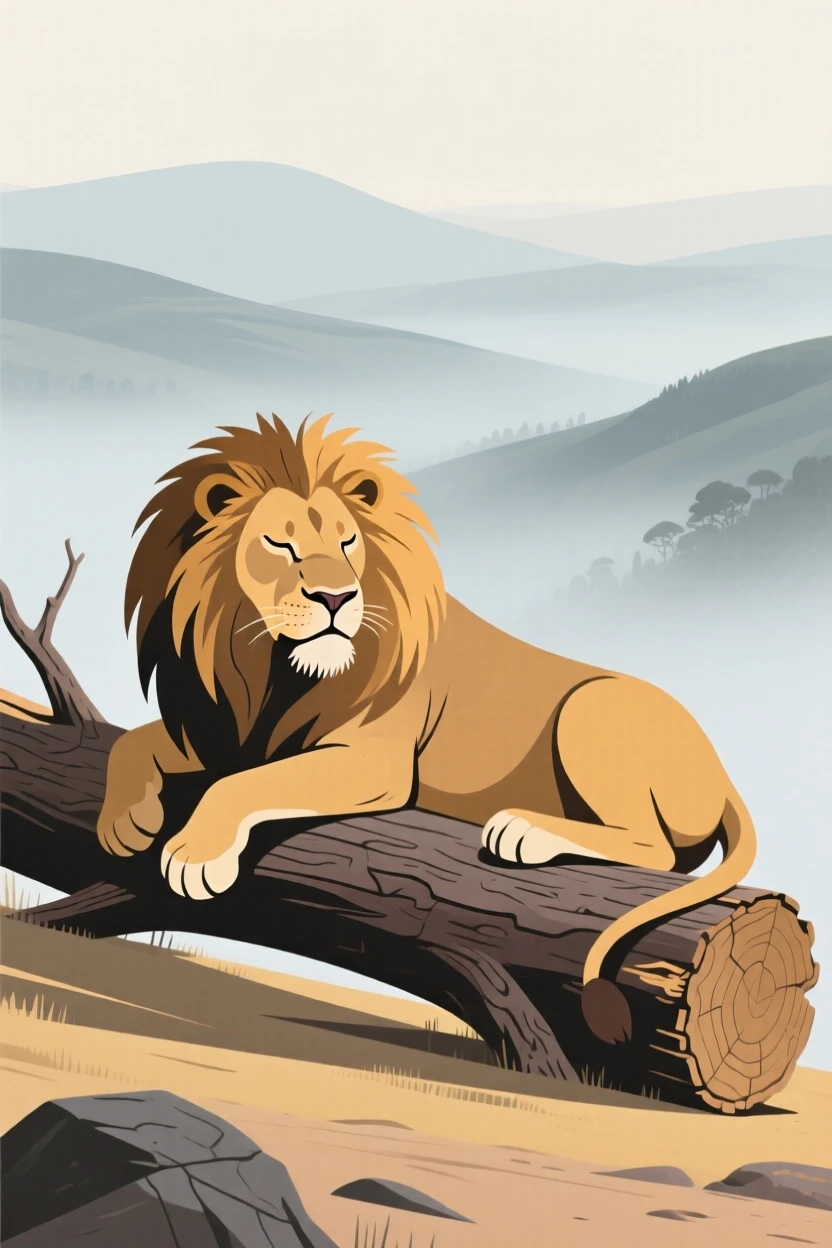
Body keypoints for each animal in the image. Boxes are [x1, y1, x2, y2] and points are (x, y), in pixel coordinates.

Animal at [97, 413, 757, 1044]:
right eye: (280, 544)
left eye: (347, 542)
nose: (337, 598)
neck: (267, 664)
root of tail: (721, 773)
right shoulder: (231, 732)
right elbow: (137, 741)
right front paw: (125, 821)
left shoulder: (375, 760)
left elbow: (238, 784)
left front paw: (196, 855)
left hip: (591, 707)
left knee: (654, 849)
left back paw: (524, 830)